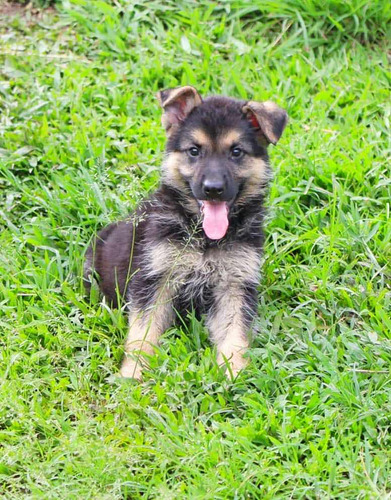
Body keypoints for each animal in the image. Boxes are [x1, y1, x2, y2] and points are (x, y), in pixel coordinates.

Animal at [85, 88, 288, 380]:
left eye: (236, 152)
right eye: (194, 151)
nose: (213, 189)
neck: (205, 239)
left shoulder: (234, 284)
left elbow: (235, 335)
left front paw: (233, 374)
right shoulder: (155, 279)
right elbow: (142, 334)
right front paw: (132, 374)